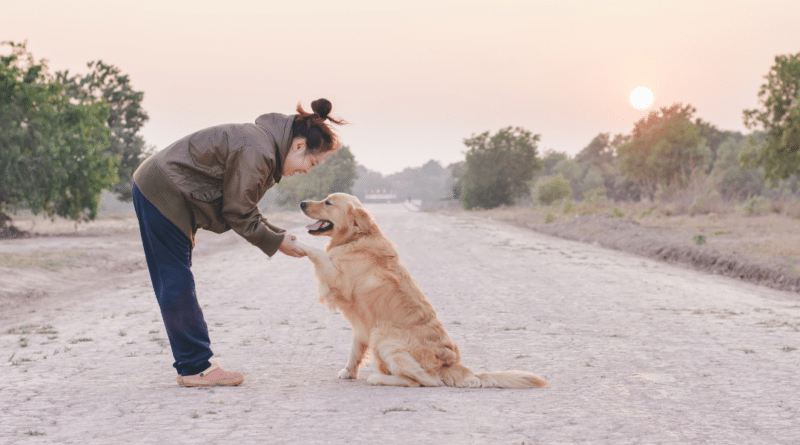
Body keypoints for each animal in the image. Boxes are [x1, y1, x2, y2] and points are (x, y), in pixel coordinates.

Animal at [296, 193, 552, 386]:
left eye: (328, 202)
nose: (301, 203)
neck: (356, 237)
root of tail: (451, 364)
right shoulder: (361, 324)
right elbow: (355, 350)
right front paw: (349, 372)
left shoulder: (337, 281)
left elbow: (317, 253)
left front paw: (295, 242)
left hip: (383, 334)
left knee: (423, 380)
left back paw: (379, 378)